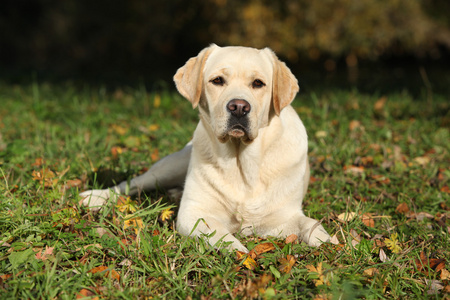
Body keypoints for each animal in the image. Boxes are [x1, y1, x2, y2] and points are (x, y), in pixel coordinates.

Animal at [80, 44, 330, 252]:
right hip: (171, 166)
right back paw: (95, 197)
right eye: (217, 80)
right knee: (133, 183)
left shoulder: (283, 217)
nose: (239, 107)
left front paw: (331, 244)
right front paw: (239, 252)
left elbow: (312, 226)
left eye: (258, 83)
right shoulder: (194, 214)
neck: (241, 165)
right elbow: (222, 236)